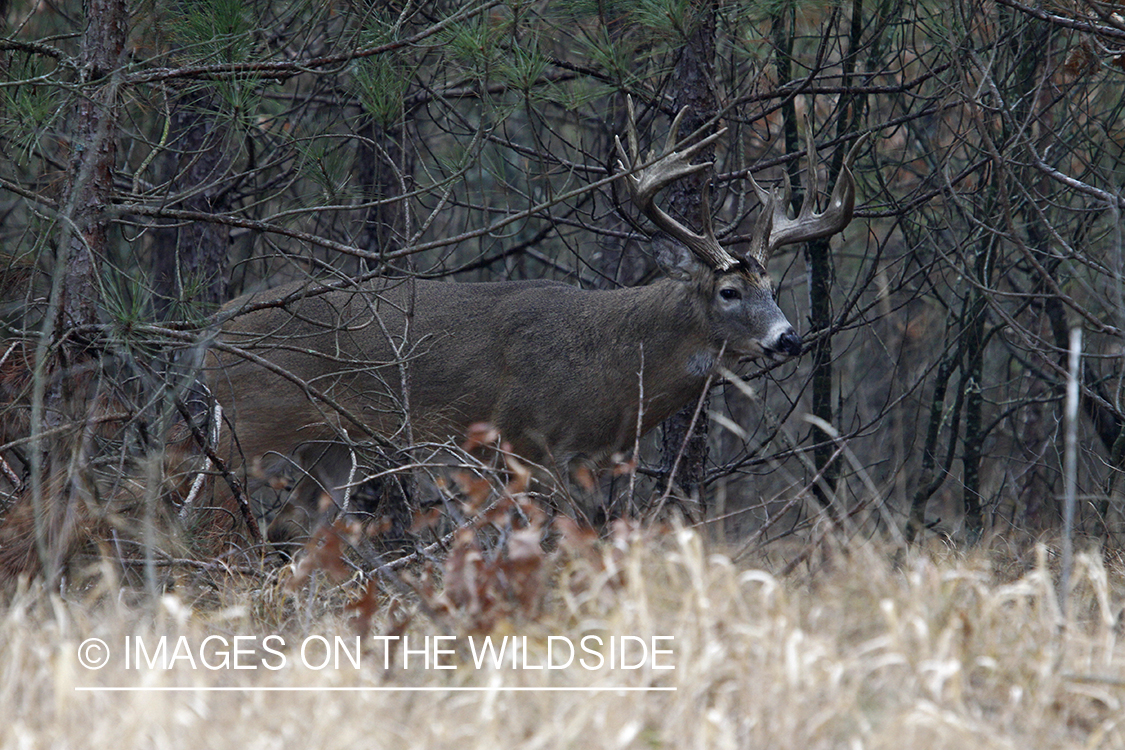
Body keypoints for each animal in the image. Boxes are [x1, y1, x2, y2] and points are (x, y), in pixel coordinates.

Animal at [202, 102, 859, 541]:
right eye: (728, 291)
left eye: (772, 288)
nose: (790, 338)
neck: (611, 364)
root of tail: (215, 326)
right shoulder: (527, 442)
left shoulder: (587, 458)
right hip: (249, 415)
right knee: (202, 504)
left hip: (331, 443)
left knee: (294, 524)